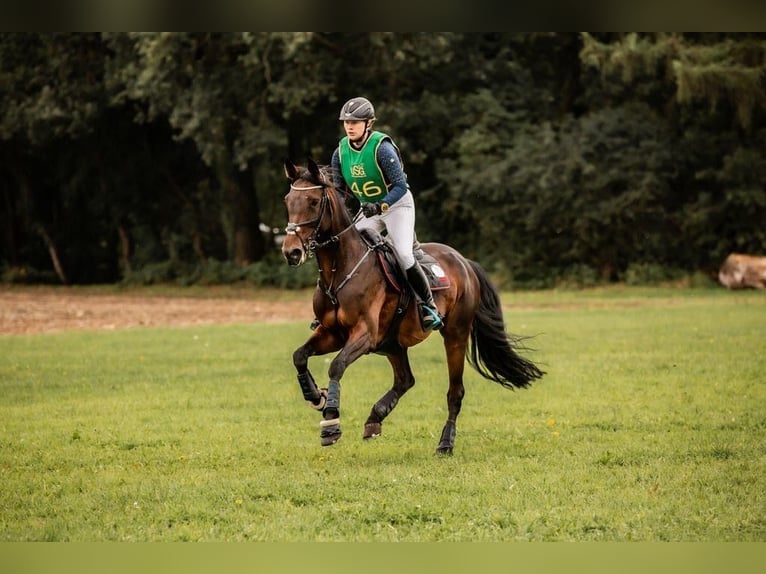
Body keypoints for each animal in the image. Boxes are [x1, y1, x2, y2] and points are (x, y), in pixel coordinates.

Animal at [284, 158, 544, 454]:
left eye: (314, 201)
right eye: (288, 200)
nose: (291, 251)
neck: (340, 271)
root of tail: (464, 261)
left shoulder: (364, 334)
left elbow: (336, 366)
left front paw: (330, 421)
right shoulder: (332, 333)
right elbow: (299, 356)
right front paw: (316, 396)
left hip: (454, 335)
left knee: (455, 391)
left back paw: (445, 442)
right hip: (392, 344)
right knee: (405, 379)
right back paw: (375, 418)